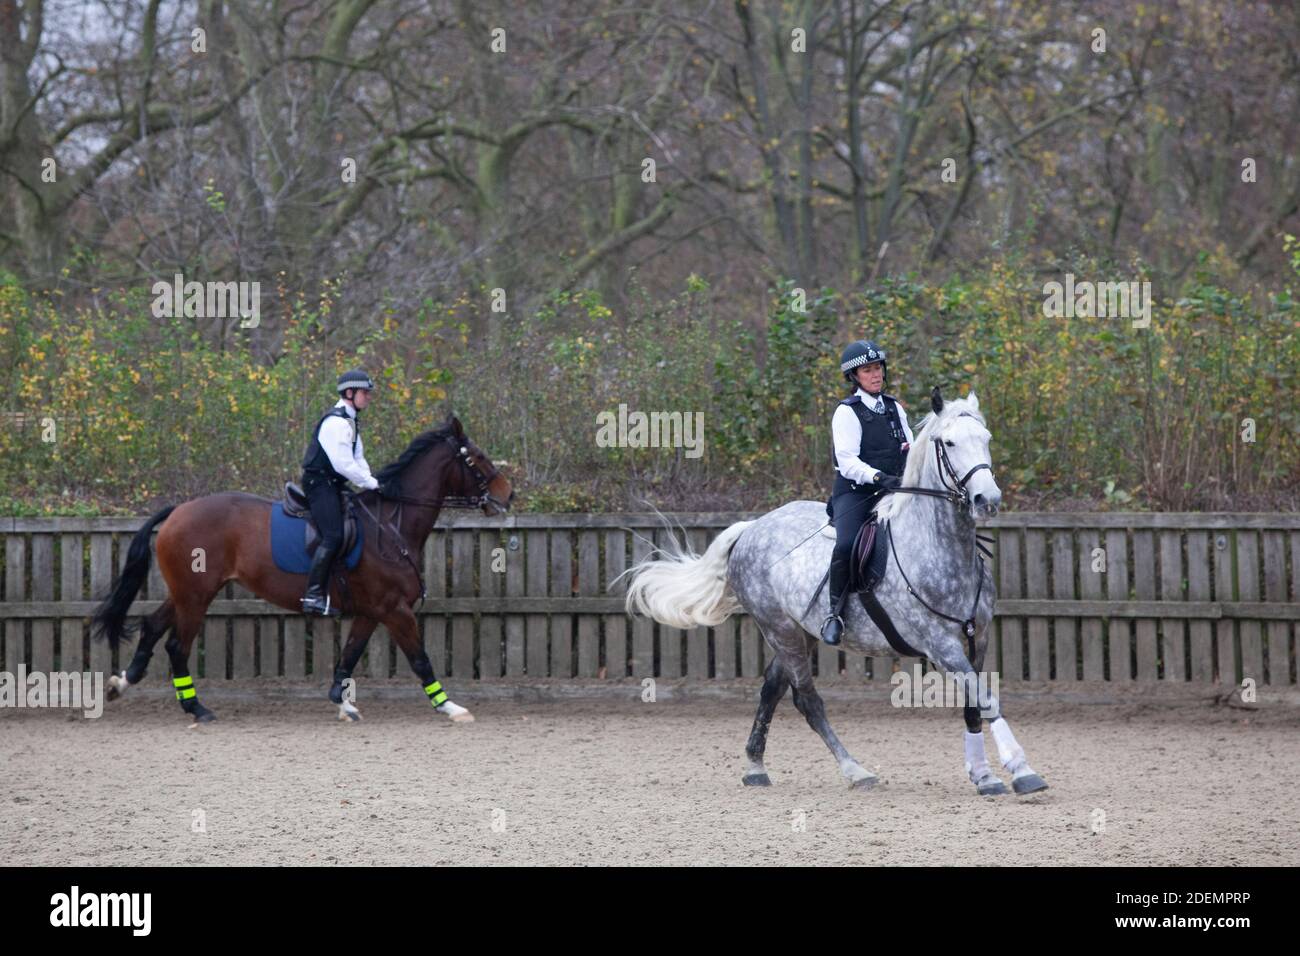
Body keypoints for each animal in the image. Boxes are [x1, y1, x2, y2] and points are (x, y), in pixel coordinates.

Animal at [87, 418, 506, 723]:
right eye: (475, 458)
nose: (508, 494)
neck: (390, 525)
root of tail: (179, 510)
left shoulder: (373, 612)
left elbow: (349, 655)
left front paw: (343, 703)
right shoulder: (394, 610)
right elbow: (420, 660)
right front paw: (450, 707)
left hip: (187, 592)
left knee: (152, 627)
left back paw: (121, 684)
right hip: (195, 596)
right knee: (176, 644)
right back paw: (197, 709)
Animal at [621, 385, 1045, 796]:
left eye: (986, 439)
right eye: (950, 443)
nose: (987, 500)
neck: (937, 546)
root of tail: (752, 527)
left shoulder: (978, 639)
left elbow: (974, 704)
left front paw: (983, 775)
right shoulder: (940, 645)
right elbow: (984, 698)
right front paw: (1022, 771)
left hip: (798, 632)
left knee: (772, 689)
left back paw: (756, 767)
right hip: (779, 629)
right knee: (806, 699)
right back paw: (855, 770)